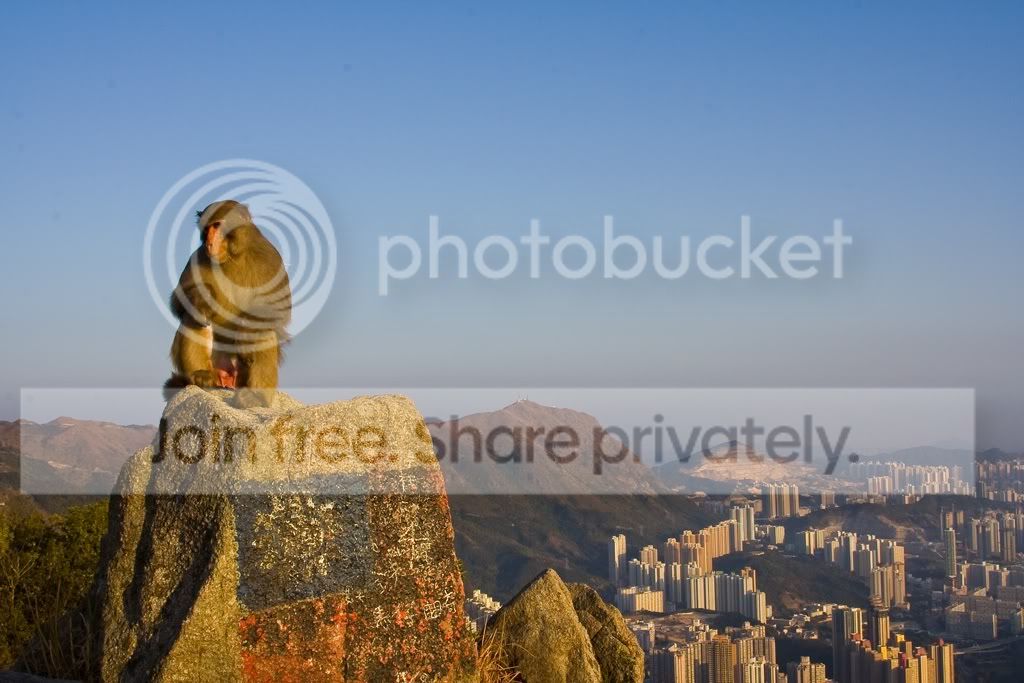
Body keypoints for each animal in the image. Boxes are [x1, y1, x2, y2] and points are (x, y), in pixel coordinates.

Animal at [164, 200, 291, 408]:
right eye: (206, 228)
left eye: (216, 225)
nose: (209, 242)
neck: (233, 255)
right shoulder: (197, 258)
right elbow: (180, 301)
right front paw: (202, 303)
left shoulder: (270, 257)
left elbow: (278, 306)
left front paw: (246, 336)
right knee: (193, 319)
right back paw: (200, 376)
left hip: (241, 373)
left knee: (263, 331)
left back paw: (256, 396)